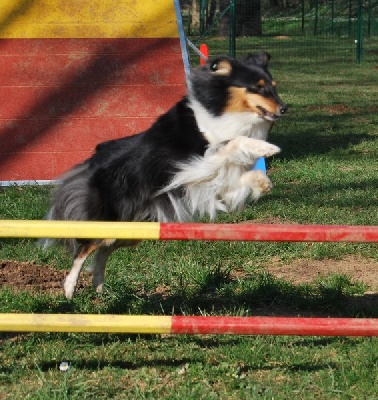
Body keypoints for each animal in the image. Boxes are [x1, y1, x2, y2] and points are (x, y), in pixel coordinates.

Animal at [41, 51, 288, 298]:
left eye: (274, 86)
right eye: (258, 87)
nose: (285, 108)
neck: (224, 110)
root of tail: (92, 161)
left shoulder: (213, 178)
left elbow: (236, 178)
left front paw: (262, 181)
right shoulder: (196, 163)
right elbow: (233, 142)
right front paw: (266, 148)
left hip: (132, 228)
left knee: (103, 250)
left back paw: (99, 285)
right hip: (106, 220)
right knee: (83, 249)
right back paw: (69, 288)